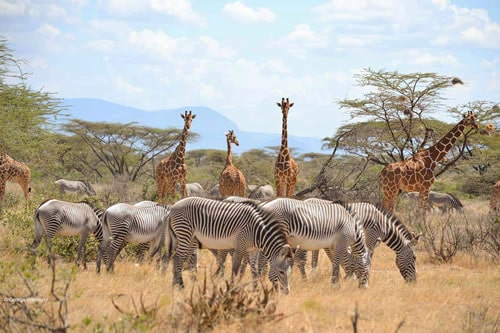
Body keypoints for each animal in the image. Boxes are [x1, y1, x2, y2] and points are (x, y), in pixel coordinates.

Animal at [166, 197, 294, 294]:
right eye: (281, 272)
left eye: (289, 272)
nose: (287, 292)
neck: (257, 232)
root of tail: (173, 207)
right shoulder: (240, 247)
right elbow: (235, 269)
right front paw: (231, 290)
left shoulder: (253, 250)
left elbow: (254, 270)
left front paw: (256, 291)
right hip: (185, 234)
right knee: (178, 258)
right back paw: (180, 286)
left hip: (189, 238)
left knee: (179, 259)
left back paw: (174, 284)